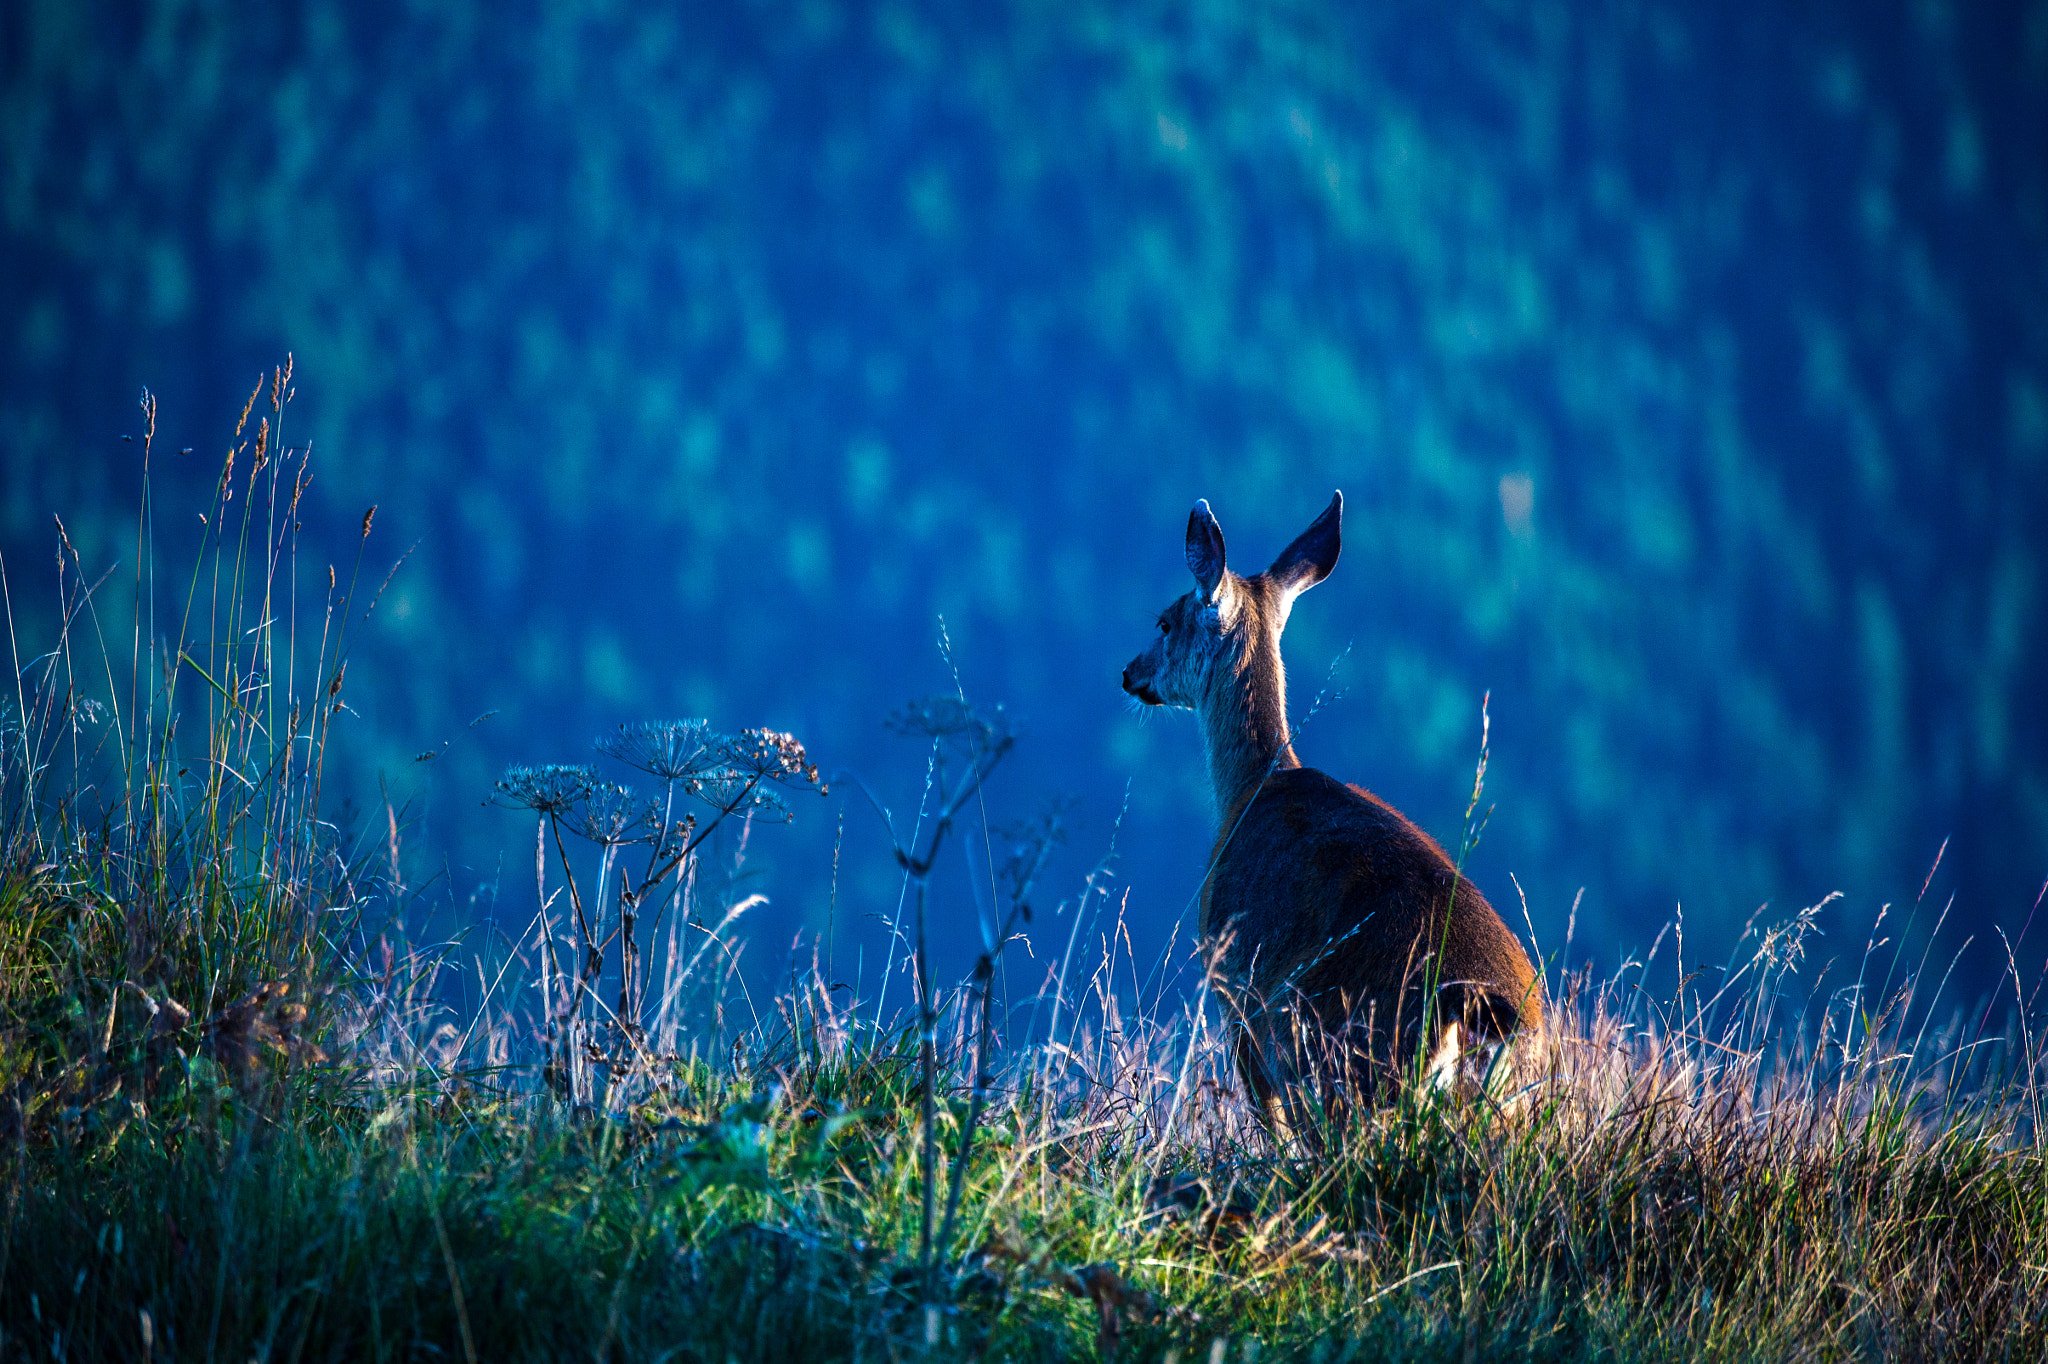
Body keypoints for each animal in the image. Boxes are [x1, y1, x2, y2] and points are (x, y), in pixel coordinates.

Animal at [1122, 492, 1542, 1142]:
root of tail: (1471, 1005)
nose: (1128, 672)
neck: (1254, 787)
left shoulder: (1234, 994)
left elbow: (1269, 1126)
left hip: (1344, 1060)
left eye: (1165, 622)